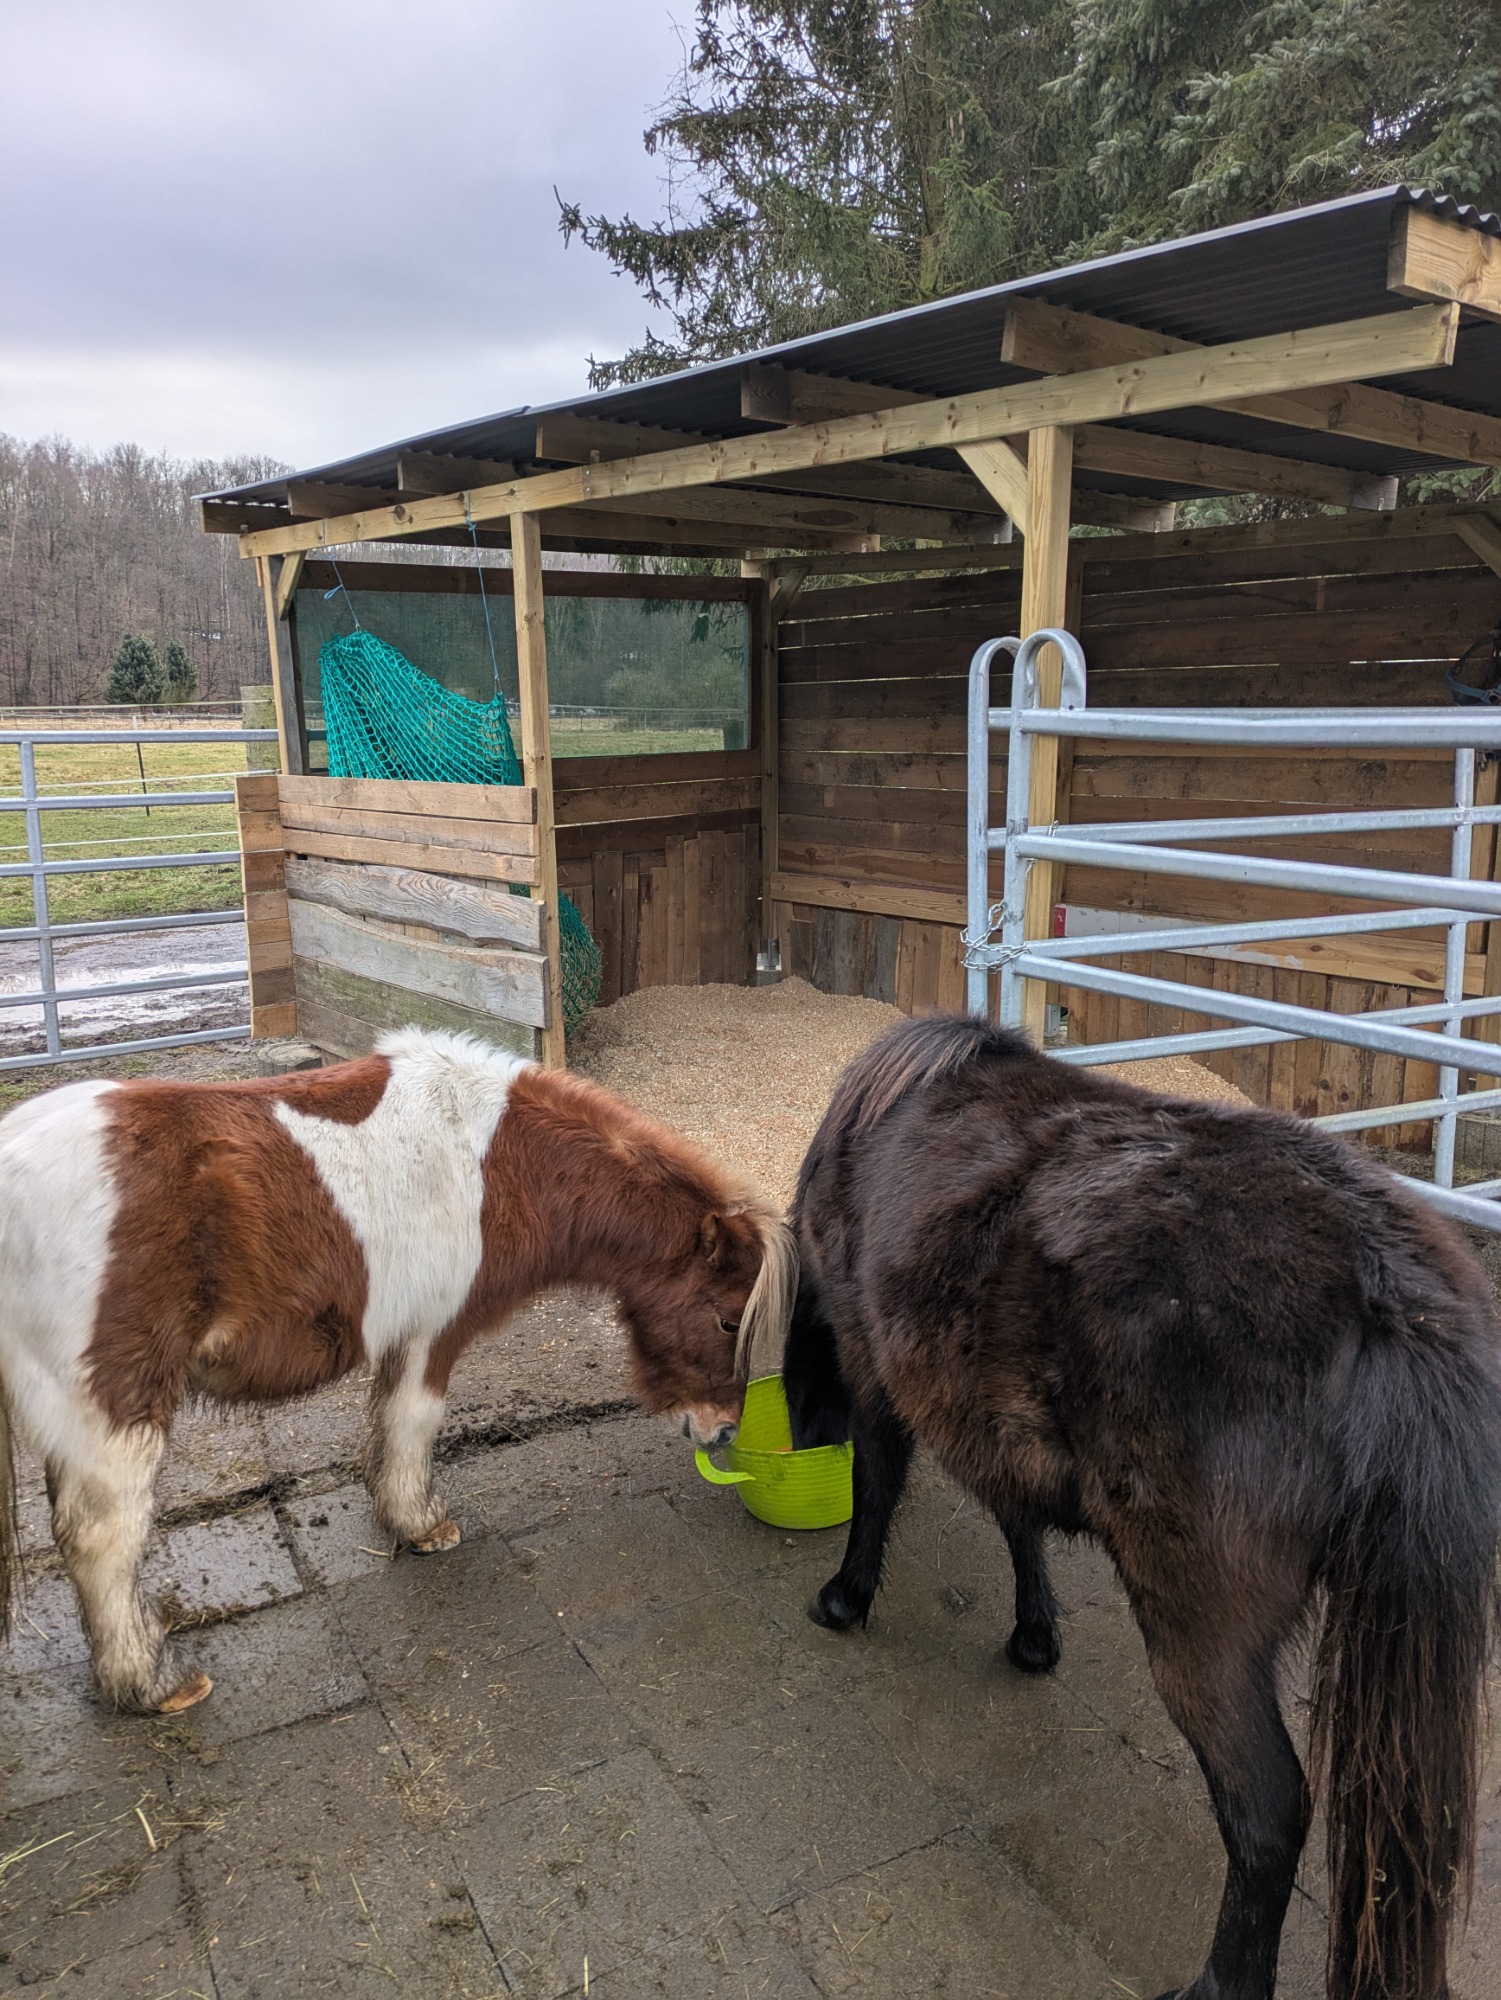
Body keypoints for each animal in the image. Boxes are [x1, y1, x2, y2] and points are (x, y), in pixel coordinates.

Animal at [0, 1027, 794, 1716]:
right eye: (730, 1319)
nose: (724, 1431)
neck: (496, 1161)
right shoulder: (433, 1333)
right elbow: (415, 1422)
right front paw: (423, 1525)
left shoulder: (401, 1337)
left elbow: (384, 1424)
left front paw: (396, 1514)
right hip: (115, 1405)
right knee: (103, 1535)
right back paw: (153, 1684)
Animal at [782, 1013, 1501, 2000]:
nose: (793, 1432)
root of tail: (1386, 1293)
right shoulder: (988, 1413)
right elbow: (1016, 1520)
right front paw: (1033, 1635)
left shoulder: (875, 1369)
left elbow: (881, 1487)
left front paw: (846, 1597)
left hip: (1202, 1641)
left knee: (1267, 1813)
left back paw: (1218, 1986)